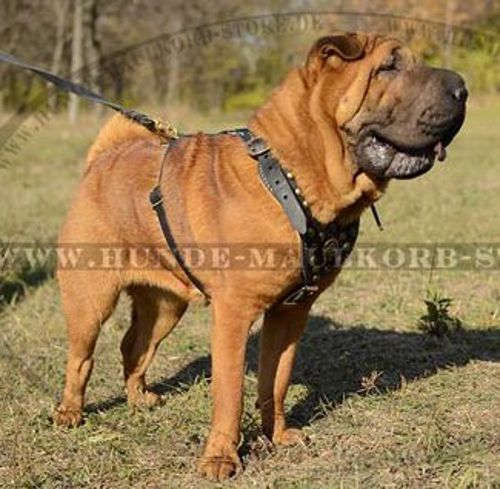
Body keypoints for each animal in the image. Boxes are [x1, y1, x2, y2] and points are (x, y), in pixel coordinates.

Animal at [52, 32, 466, 478]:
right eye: (388, 67)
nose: (463, 88)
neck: (294, 180)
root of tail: (103, 158)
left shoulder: (290, 312)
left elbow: (276, 379)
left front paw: (277, 435)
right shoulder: (233, 315)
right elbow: (229, 393)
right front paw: (221, 457)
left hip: (165, 305)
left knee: (135, 346)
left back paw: (139, 399)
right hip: (90, 300)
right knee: (81, 358)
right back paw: (69, 413)